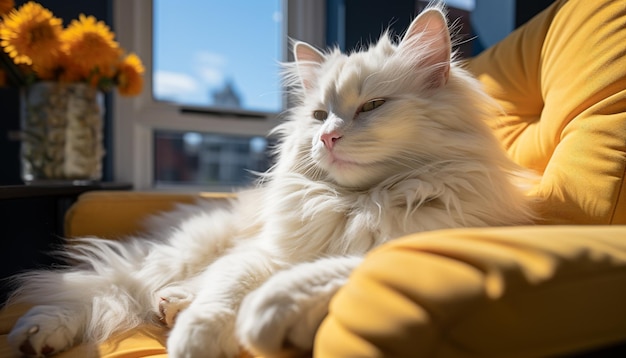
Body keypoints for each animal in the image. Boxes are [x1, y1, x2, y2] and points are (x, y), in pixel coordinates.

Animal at [6, 5, 532, 358]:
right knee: (105, 287)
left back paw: (172, 306)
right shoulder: (262, 255)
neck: (358, 205)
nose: (327, 137)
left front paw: (257, 316)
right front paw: (196, 339)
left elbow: (333, 271)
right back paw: (39, 333)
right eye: (318, 115)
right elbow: (225, 295)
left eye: (372, 107)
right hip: (180, 253)